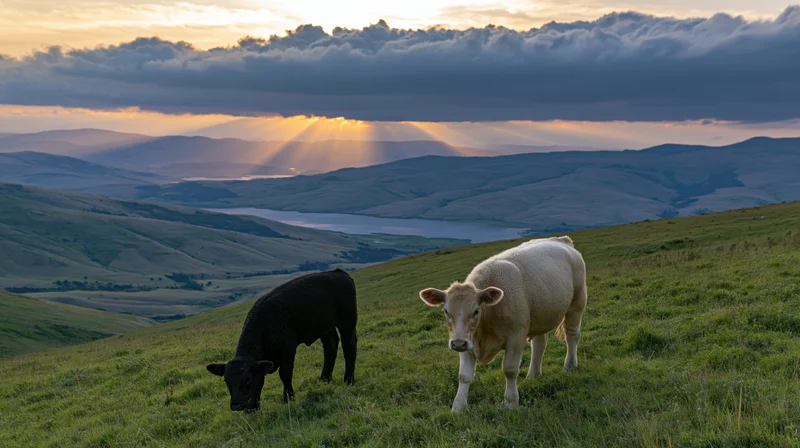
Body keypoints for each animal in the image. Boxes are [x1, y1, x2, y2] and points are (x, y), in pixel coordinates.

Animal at [206, 269, 358, 411]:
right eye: (227, 382)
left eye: (247, 381)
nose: (236, 405)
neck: (263, 326)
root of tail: (338, 272)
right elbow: (259, 381)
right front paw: (253, 408)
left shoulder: (287, 350)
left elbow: (285, 375)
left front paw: (288, 398)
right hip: (325, 326)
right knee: (330, 346)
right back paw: (324, 379)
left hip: (347, 321)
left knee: (349, 345)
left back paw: (349, 380)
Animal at [418, 236, 587, 412]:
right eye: (446, 311)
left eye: (476, 311)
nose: (457, 344)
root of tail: (560, 239)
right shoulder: (467, 340)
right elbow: (464, 376)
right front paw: (458, 407)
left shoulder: (515, 338)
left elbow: (510, 370)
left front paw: (511, 402)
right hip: (541, 314)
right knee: (540, 343)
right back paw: (533, 375)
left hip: (577, 302)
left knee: (572, 335)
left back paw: (570, 365)